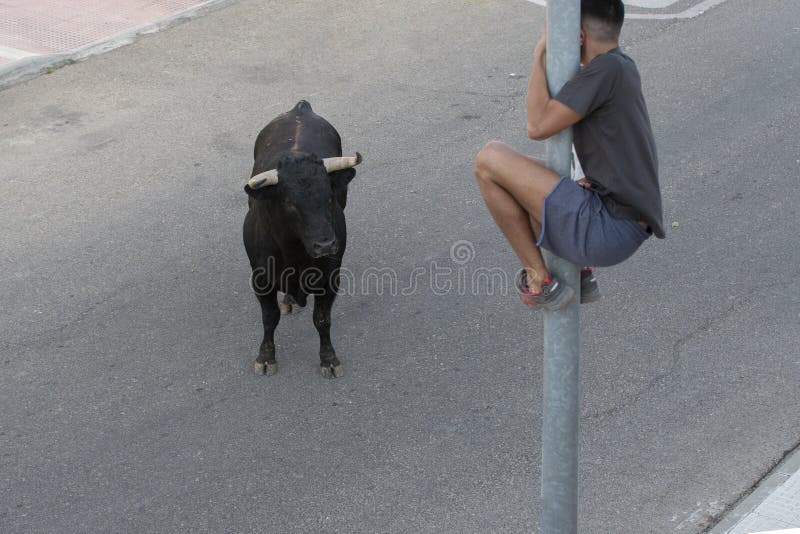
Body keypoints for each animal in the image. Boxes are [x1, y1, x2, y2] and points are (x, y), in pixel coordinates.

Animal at [241, 99, 360, 376]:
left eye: (329, 194)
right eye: (289, 202)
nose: (326, 244)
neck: (296, 253)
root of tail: (301, 107)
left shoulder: (330, 278)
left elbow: (322, 319)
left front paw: (329, 359)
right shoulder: (260, 280)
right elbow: (269, 318)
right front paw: (266, 357)